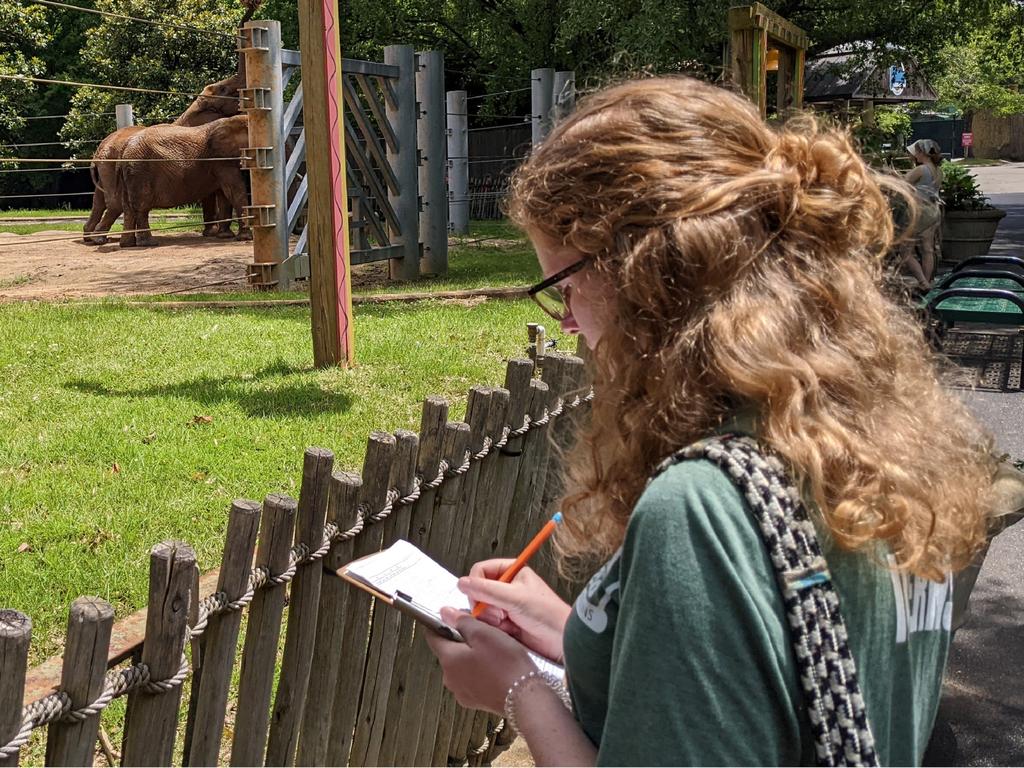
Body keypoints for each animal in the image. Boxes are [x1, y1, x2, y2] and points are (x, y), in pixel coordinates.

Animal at [115, 113, 249, 249]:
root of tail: (124, 149)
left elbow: (224, 195)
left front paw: (225, 236)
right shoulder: (221, 159)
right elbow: (234, 191)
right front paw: (244, 238)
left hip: (130, 174)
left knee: (127, 208)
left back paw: (127, 244)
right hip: (140, 171)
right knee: (141, 208)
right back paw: (149, 243)